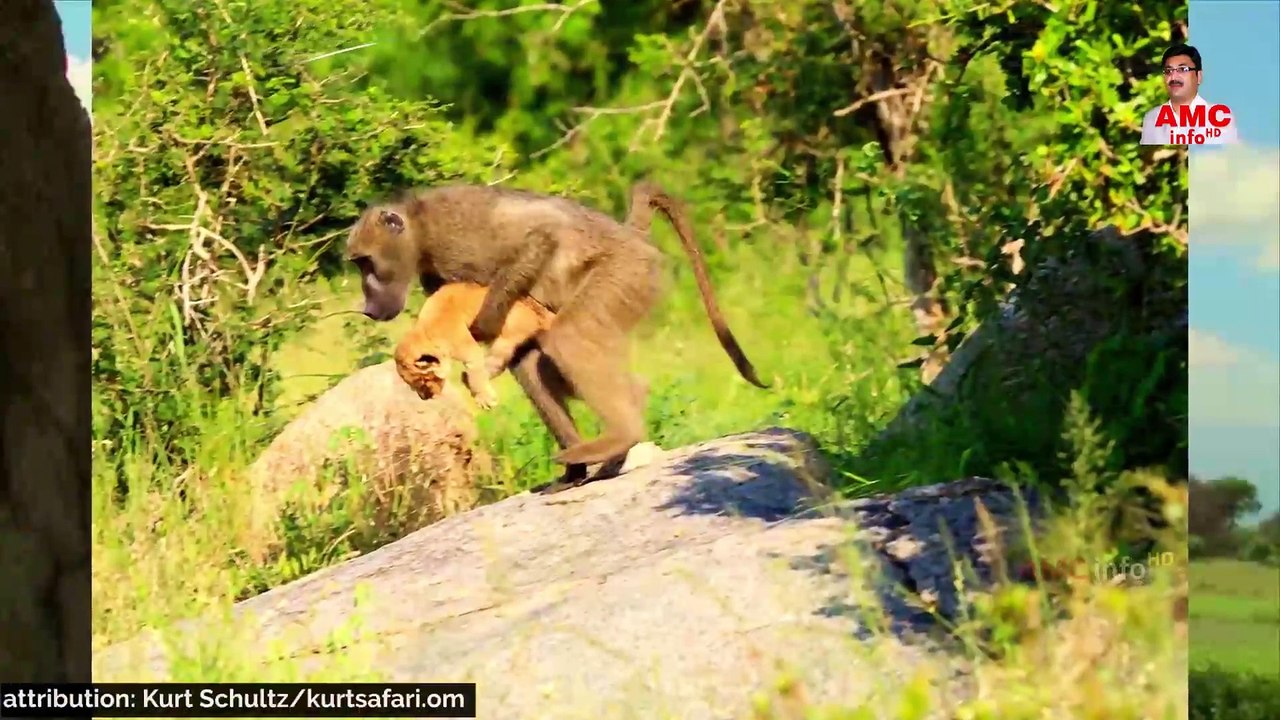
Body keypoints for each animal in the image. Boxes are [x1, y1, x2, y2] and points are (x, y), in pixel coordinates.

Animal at [393, 281, 554, 409]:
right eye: (413, 386)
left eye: (423, 381)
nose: (426, 398)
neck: (425, 333)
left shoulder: (471, 351)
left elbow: (477, 374)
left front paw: (485, 399)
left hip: (507, 338)